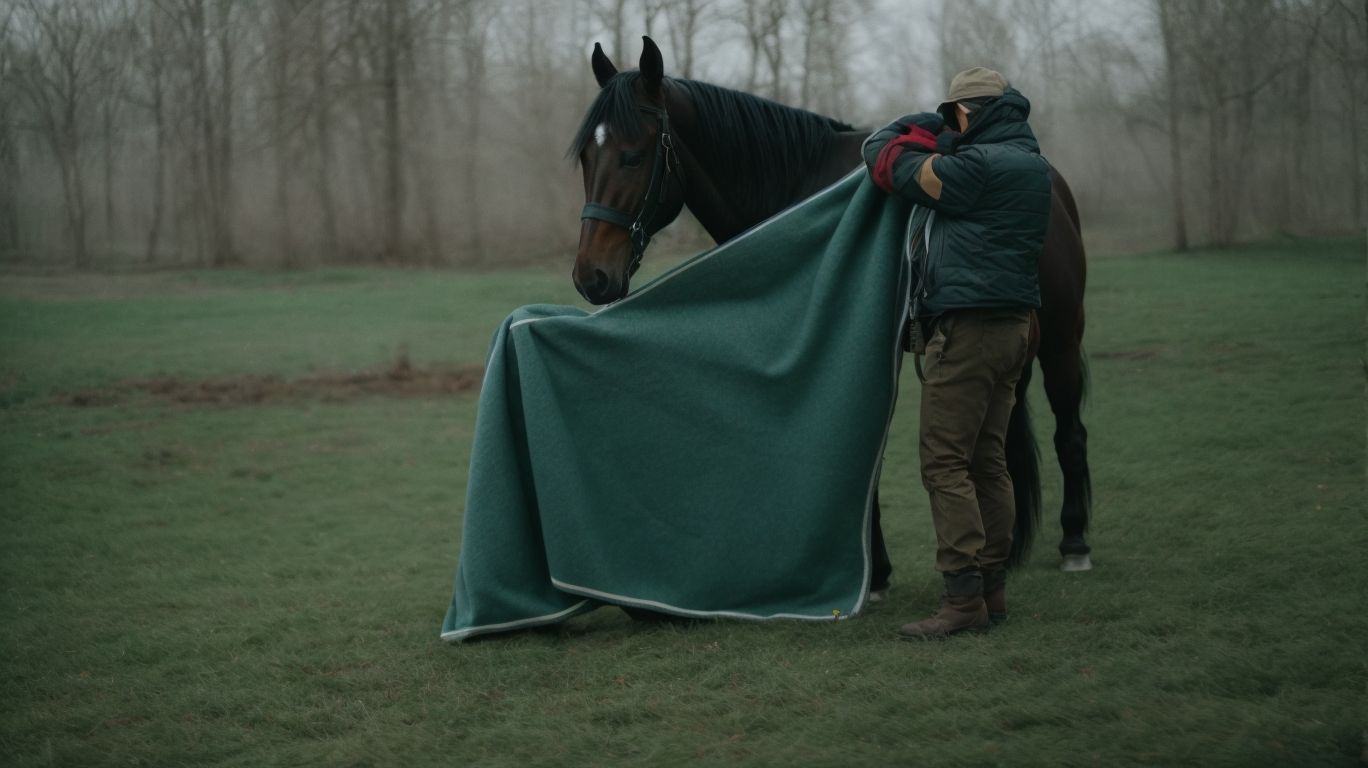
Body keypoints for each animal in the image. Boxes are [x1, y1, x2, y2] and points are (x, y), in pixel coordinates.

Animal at [570, 36, 1093, 575]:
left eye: (633, 156)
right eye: (586, 155)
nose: (592, 277)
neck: (793, 198)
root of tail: (1051, 179)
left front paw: (870, 567)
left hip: (1060, 340)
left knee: (1069, 432)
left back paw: (1074, 541)